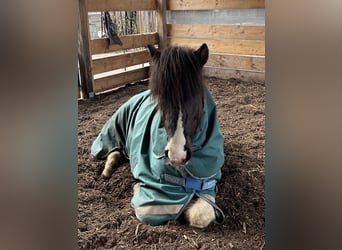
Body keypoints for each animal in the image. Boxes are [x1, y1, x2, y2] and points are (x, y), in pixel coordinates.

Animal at [90, 43, 224, 229]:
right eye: (161, 98)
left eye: (197, 96)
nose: (176, 155)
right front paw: (136, 187)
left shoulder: (208, 181)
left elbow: (201, 214)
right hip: (117, 129)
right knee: (114, 149)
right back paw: (107, 170)